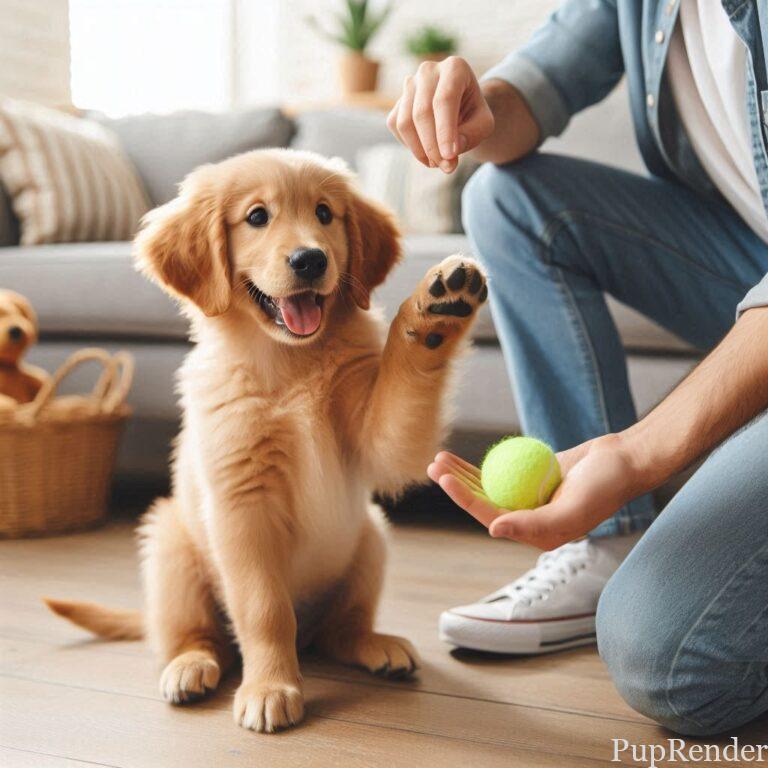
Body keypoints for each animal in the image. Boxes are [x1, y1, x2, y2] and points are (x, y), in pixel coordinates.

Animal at [48, 147, 488, 728]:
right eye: (257, 217)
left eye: (325, 214)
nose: (310, 260)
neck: (289, 363)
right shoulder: (242, 504)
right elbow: (265, 609)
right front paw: (270, 687)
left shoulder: (378, 441)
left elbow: (403, 394)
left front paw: (435, 314)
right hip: (168, 545)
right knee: (198, 635)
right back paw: (189, 666)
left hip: (370, 537)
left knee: (338, 629)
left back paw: (375, 643)